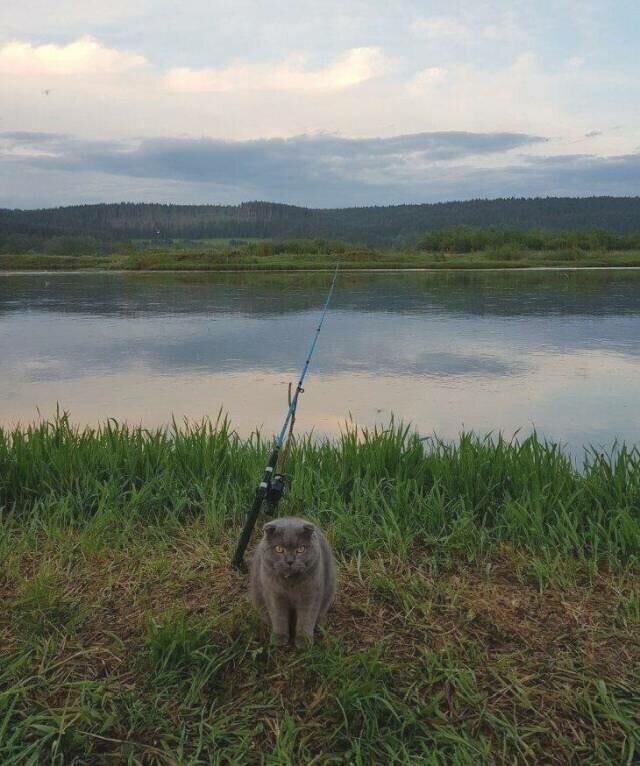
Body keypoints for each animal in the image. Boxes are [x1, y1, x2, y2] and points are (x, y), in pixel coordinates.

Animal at [250, 516, 338, 648]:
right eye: (279, 549)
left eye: (300, 549)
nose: (290, 561)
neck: (290, 583)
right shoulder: (274, 595)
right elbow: (278, 616)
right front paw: (279, 638)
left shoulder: (311, 595)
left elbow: (306, 618)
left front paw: (304, 640)